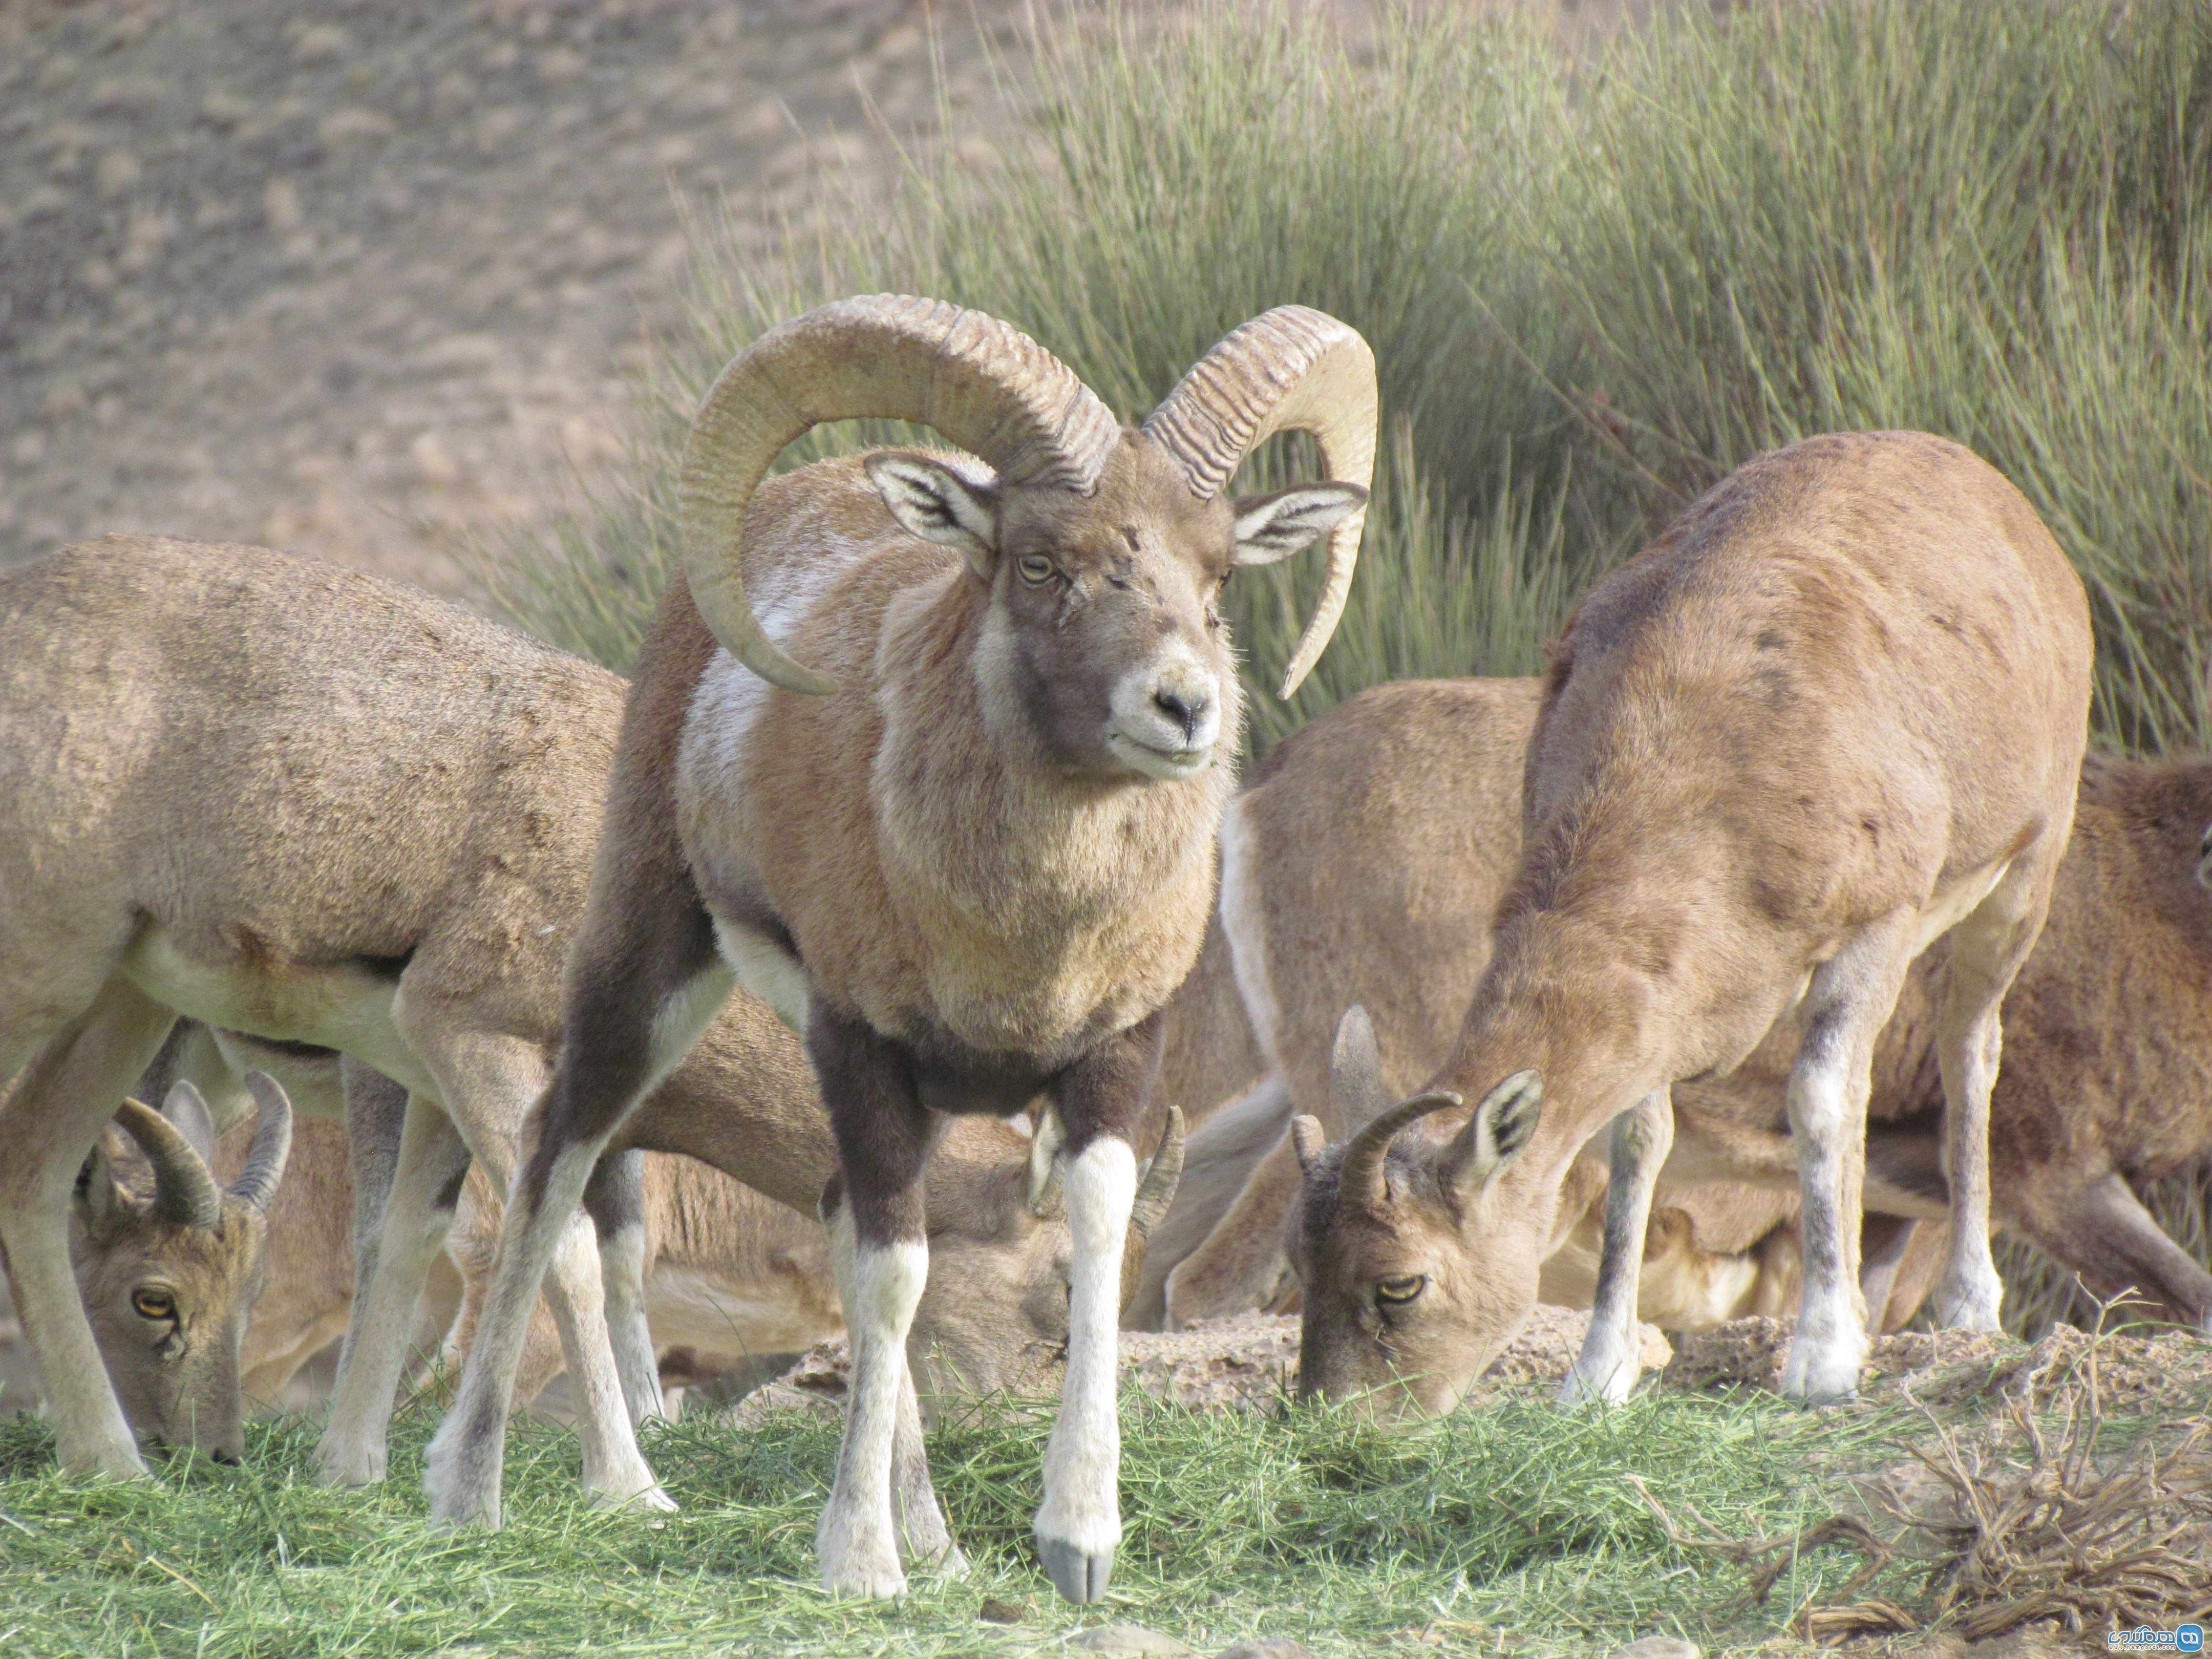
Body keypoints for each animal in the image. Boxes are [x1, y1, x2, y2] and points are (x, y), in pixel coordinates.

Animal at [422, 292, 1371, 1601]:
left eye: (1219, 572)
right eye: (1040, 561)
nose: (1185, 707)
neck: (1022, 934)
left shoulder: (1113, 1056)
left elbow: (1081, 1235)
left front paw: (1075, 1543)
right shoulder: (862, 1048)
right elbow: (891, 1276)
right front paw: (861, 1566)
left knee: (821, 1208)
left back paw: (937, 1536)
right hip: (645, 971)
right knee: (556, 1160)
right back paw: (492, 1492)